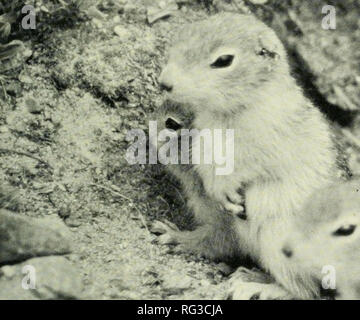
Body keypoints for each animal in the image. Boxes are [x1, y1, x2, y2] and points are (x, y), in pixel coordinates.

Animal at [152, 11, 344, 298]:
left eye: (224, 60)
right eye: (182, 34)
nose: (164, 82)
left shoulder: (266, 144)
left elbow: (246, 168)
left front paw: (172, 234)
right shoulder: (205, 141)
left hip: (278, 241)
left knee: (305, 291)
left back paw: (255, 285)